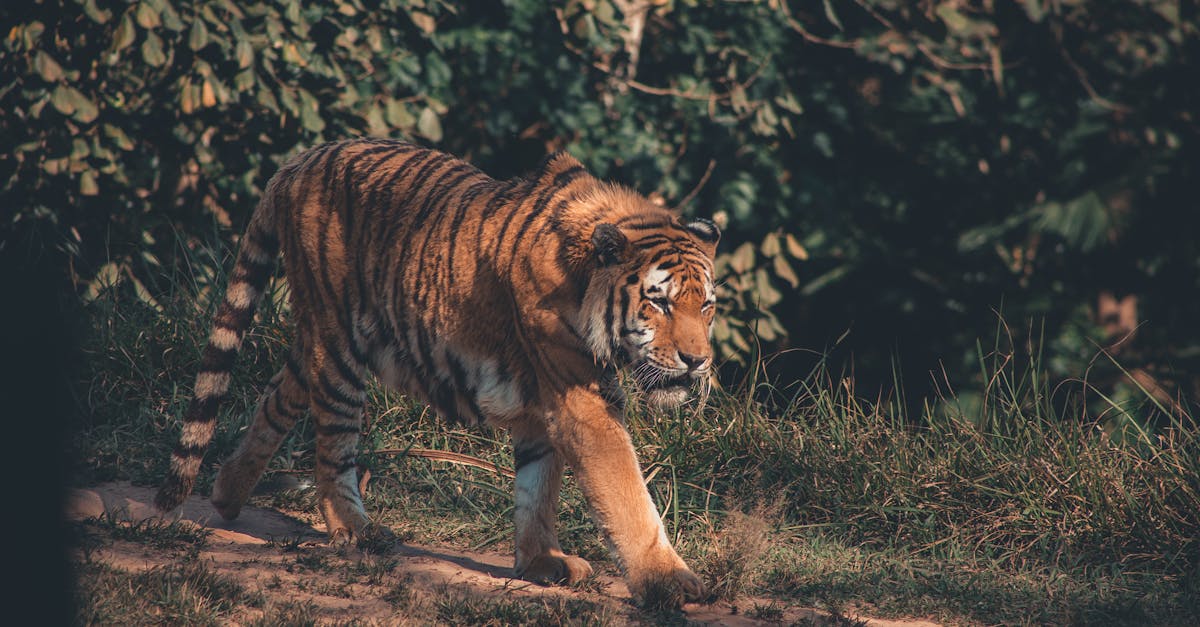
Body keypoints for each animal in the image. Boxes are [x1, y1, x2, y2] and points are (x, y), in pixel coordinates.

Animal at [154, 138, 720, 604]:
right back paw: (355, 530)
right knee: (332, 446)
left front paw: (542, 562)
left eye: (707, 306)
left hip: (318, 339)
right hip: (339, 346)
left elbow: (537, 486)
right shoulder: (580, 399)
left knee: (278, 396)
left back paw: (227, 493)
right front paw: (668, 581)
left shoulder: (542, 402)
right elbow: (625, 491)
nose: (697, 361)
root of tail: (300, 160)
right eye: (660, 303)